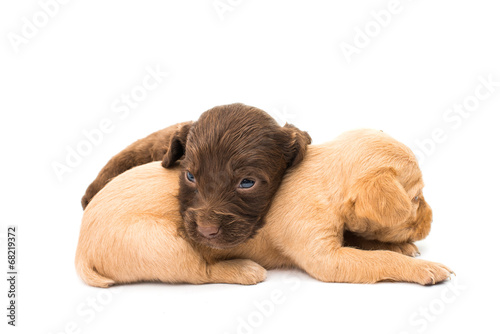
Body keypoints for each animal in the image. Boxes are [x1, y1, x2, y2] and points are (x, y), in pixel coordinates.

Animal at [75, 129, 454, 288]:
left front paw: (403, 247)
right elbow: (378, 260)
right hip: (163, 244)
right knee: (199, 272)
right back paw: (242, 270)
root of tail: (81, 247)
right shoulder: (326, 257)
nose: (432, 221)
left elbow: (367, 242)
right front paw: (424, 267)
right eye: (416, 199)